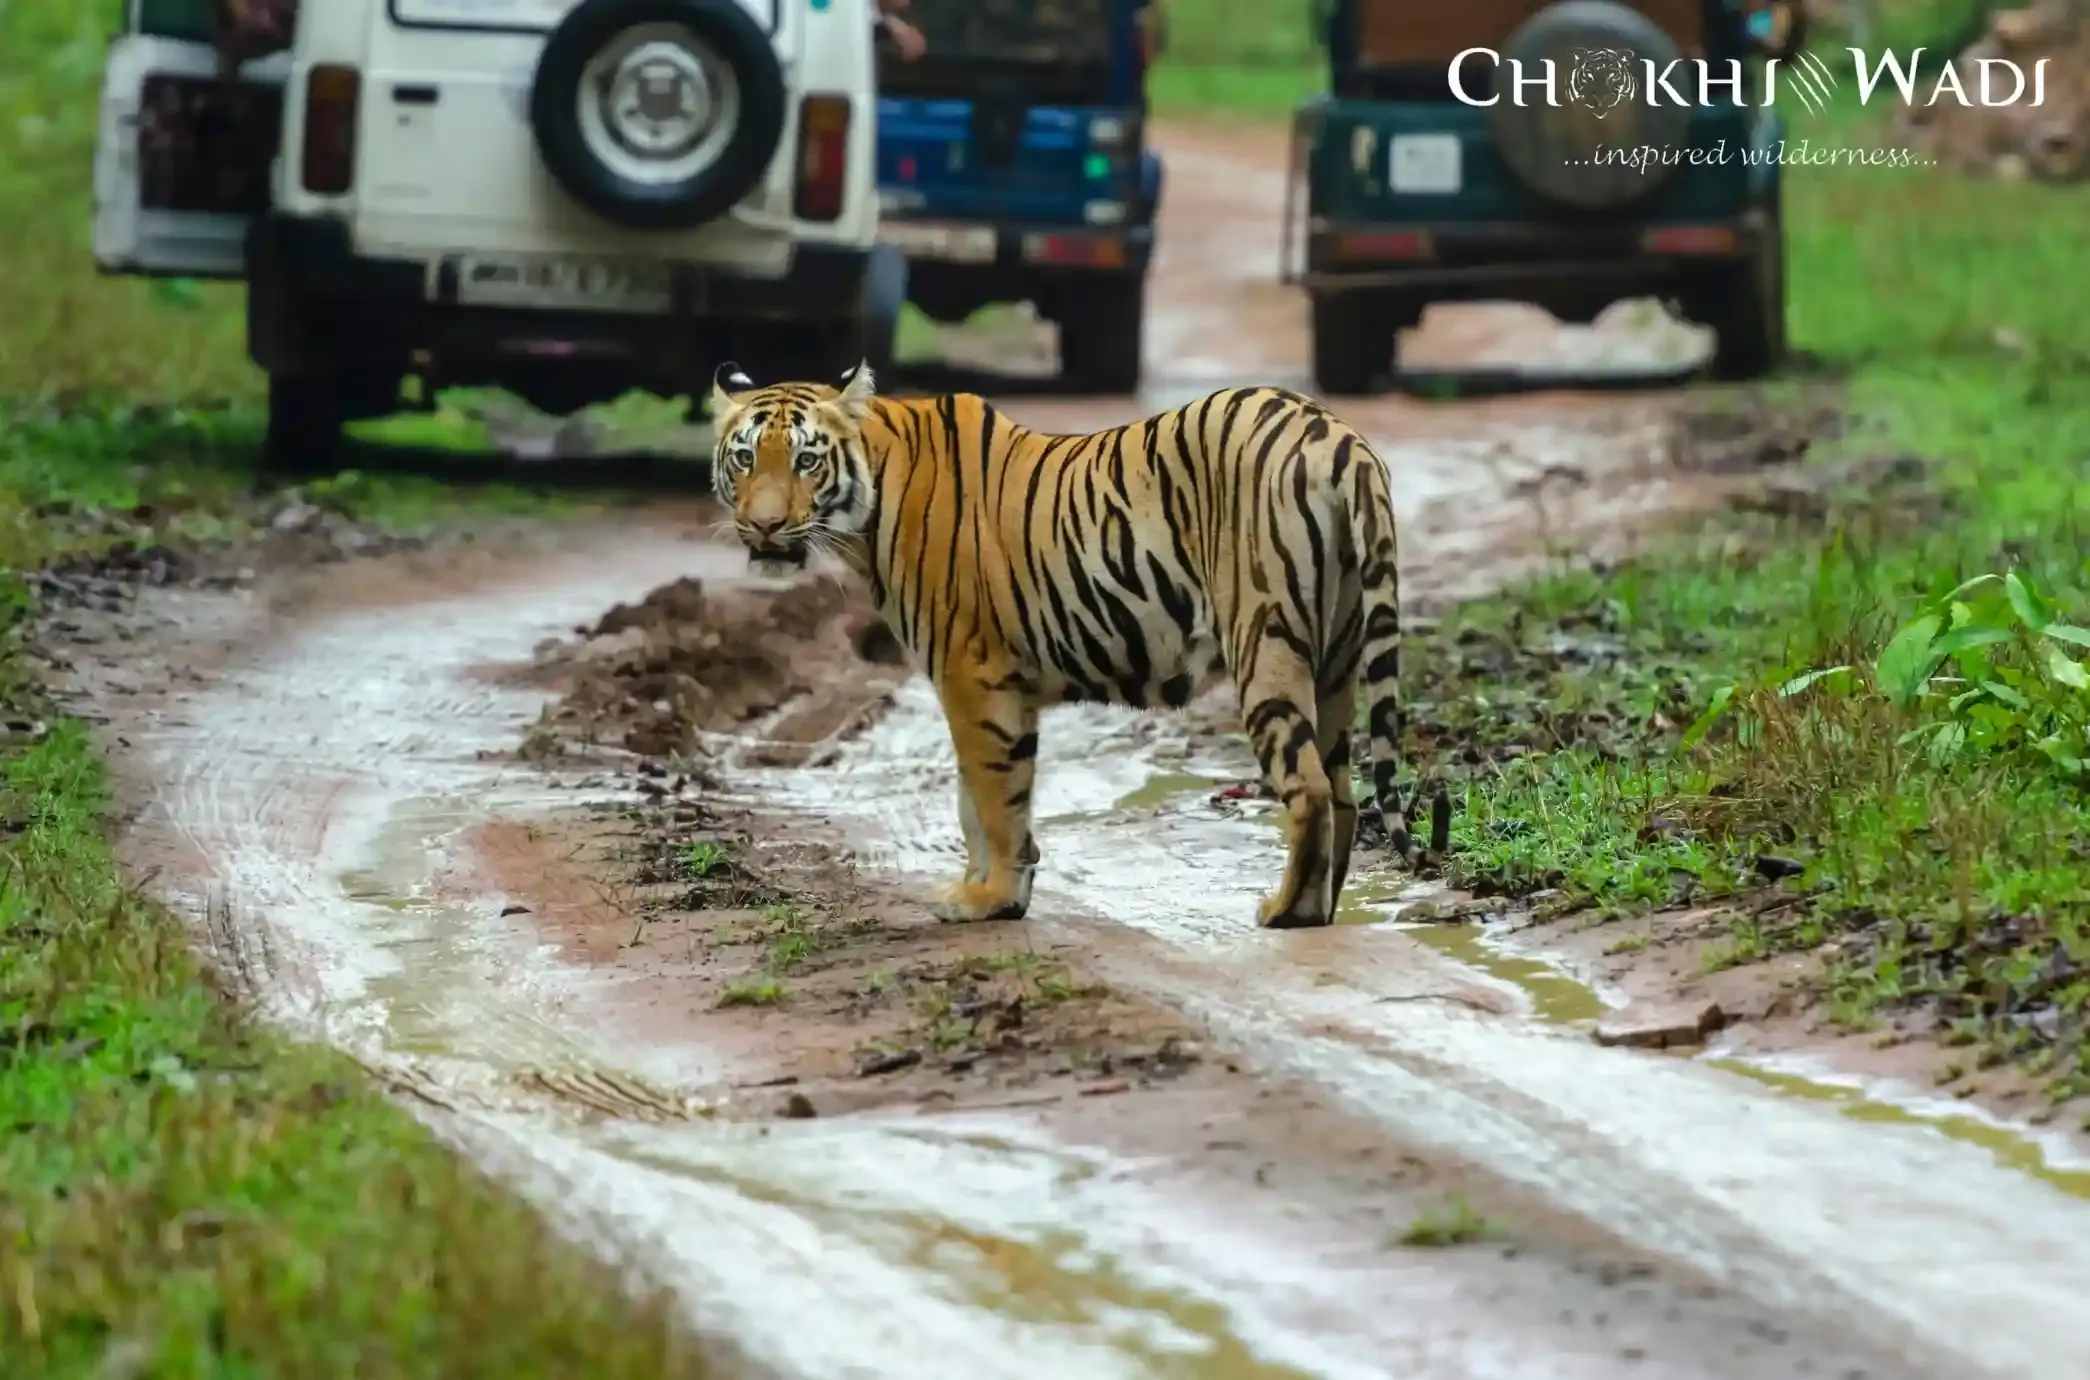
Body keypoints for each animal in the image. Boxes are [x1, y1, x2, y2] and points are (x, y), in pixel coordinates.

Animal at [709, 362, 1432, 928]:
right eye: (745, 457)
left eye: (806, 460)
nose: (765, 526)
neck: (870, 504)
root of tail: (1336, 435)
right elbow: (980, 799)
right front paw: (990, 888)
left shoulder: (972, 674)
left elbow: (992, 796)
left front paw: (991, 898)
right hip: (1336, 655)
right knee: (1342, 788)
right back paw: (1323, 906)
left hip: (1265, 641)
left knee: (1307, 786)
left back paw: (1287, 912)